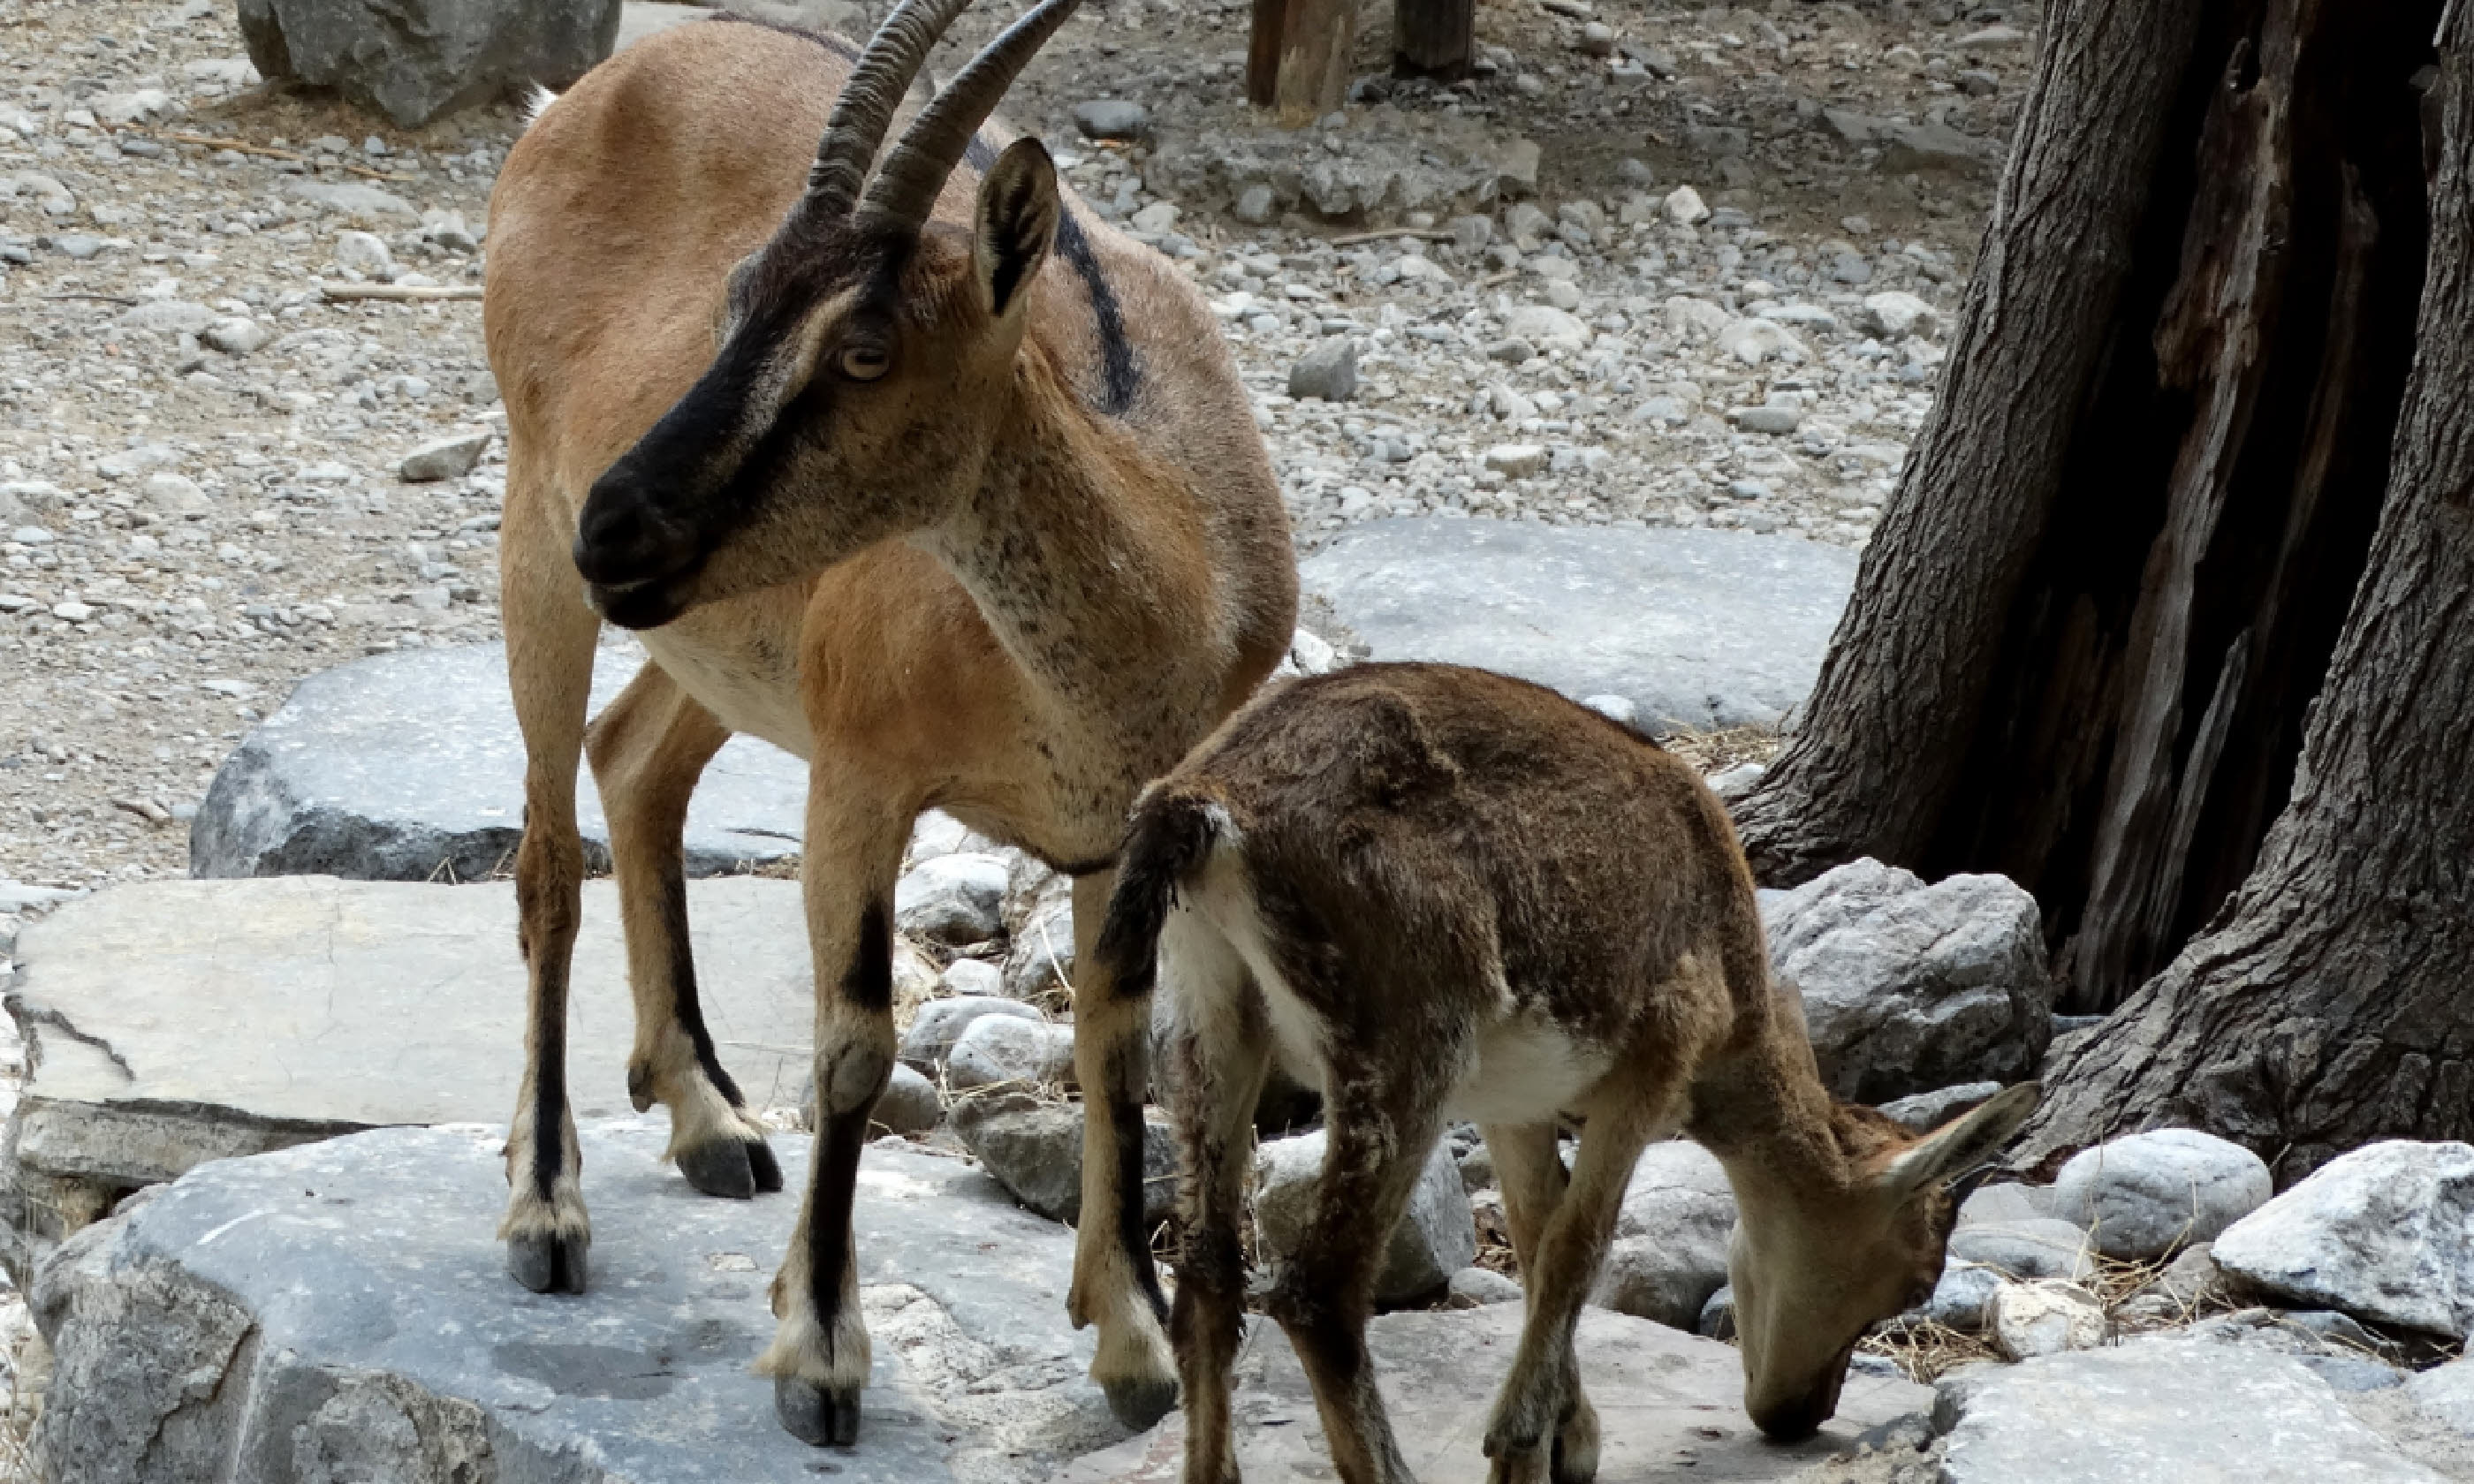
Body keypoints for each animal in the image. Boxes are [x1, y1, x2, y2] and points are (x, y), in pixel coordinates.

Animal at [477, 0, 1296, 1444]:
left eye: (863, 350)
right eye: (736, 299)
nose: (620, 523)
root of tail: (583, 95)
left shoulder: (1123, 826)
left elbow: (1117, 1040)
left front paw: (1135, 1345)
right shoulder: (861, 773)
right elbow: (856, 1045)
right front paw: (820, 1357)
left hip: (723, 638)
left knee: (633, 761)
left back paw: (708, 1123)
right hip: (534, 527)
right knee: (546, 862)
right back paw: (547, 1209)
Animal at [1098, 668, 2029, 1484]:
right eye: (1914, 1277)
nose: (1798, 1412)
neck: (1734, 994)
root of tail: (1201, 806)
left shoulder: (1514, 1101)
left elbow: (1536, 1236)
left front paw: (1569, 1441)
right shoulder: (1652, 1062)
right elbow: (1582, 1247)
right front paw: (1521, 1447)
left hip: (1211, 1010)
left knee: (1208, 1272)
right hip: (1406, 1036)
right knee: (1316, 1289)